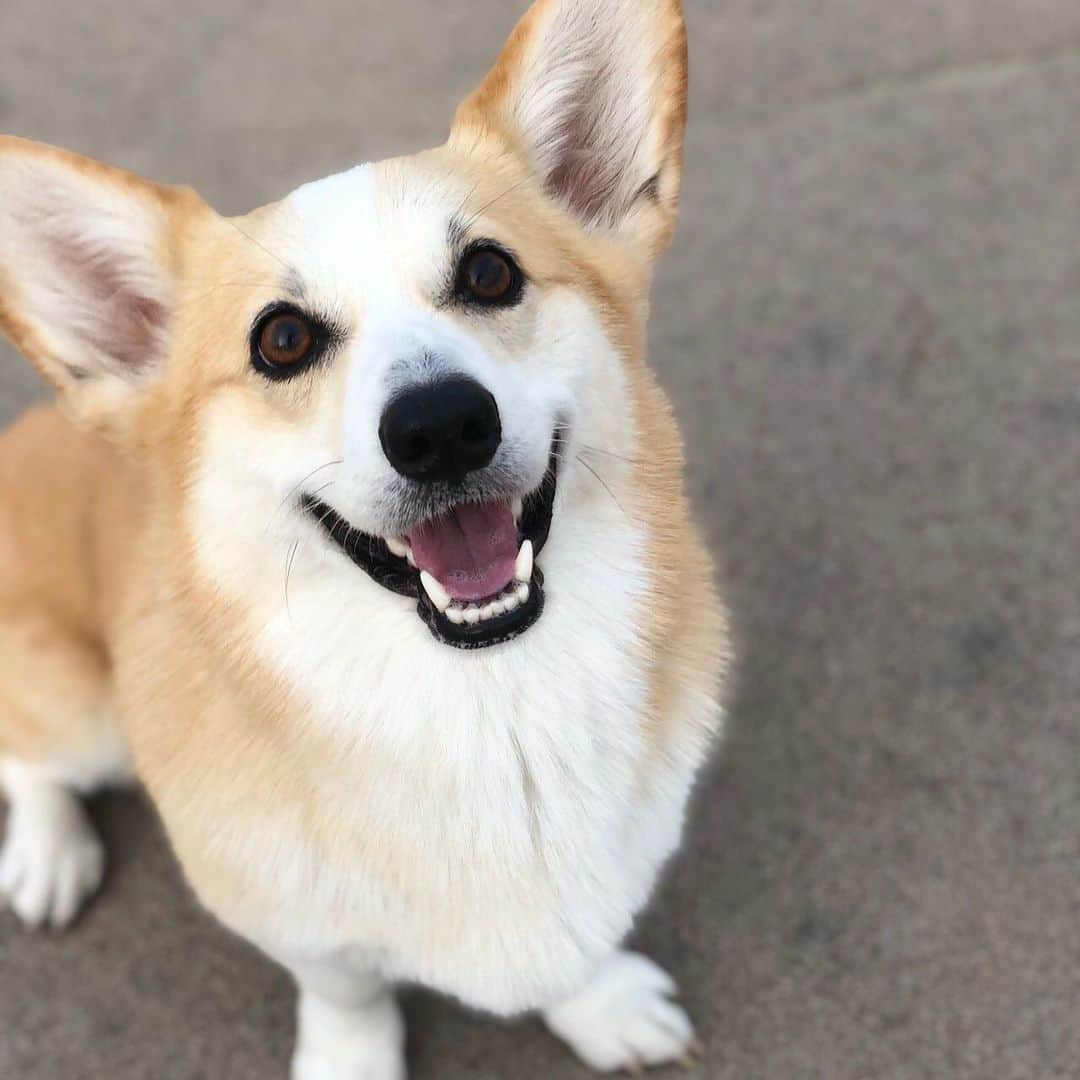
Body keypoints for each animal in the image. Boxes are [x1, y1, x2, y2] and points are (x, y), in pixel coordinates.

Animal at [0, 0, 730, 1071]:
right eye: (282, 339)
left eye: (489, 272)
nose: (440, 427)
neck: (490, 709)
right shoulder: (290, 918)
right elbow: (345, 990)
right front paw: (352, 1058)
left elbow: (580, 946)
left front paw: (601, 1005)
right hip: (78, 700)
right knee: (32, 758)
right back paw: (48, 854)